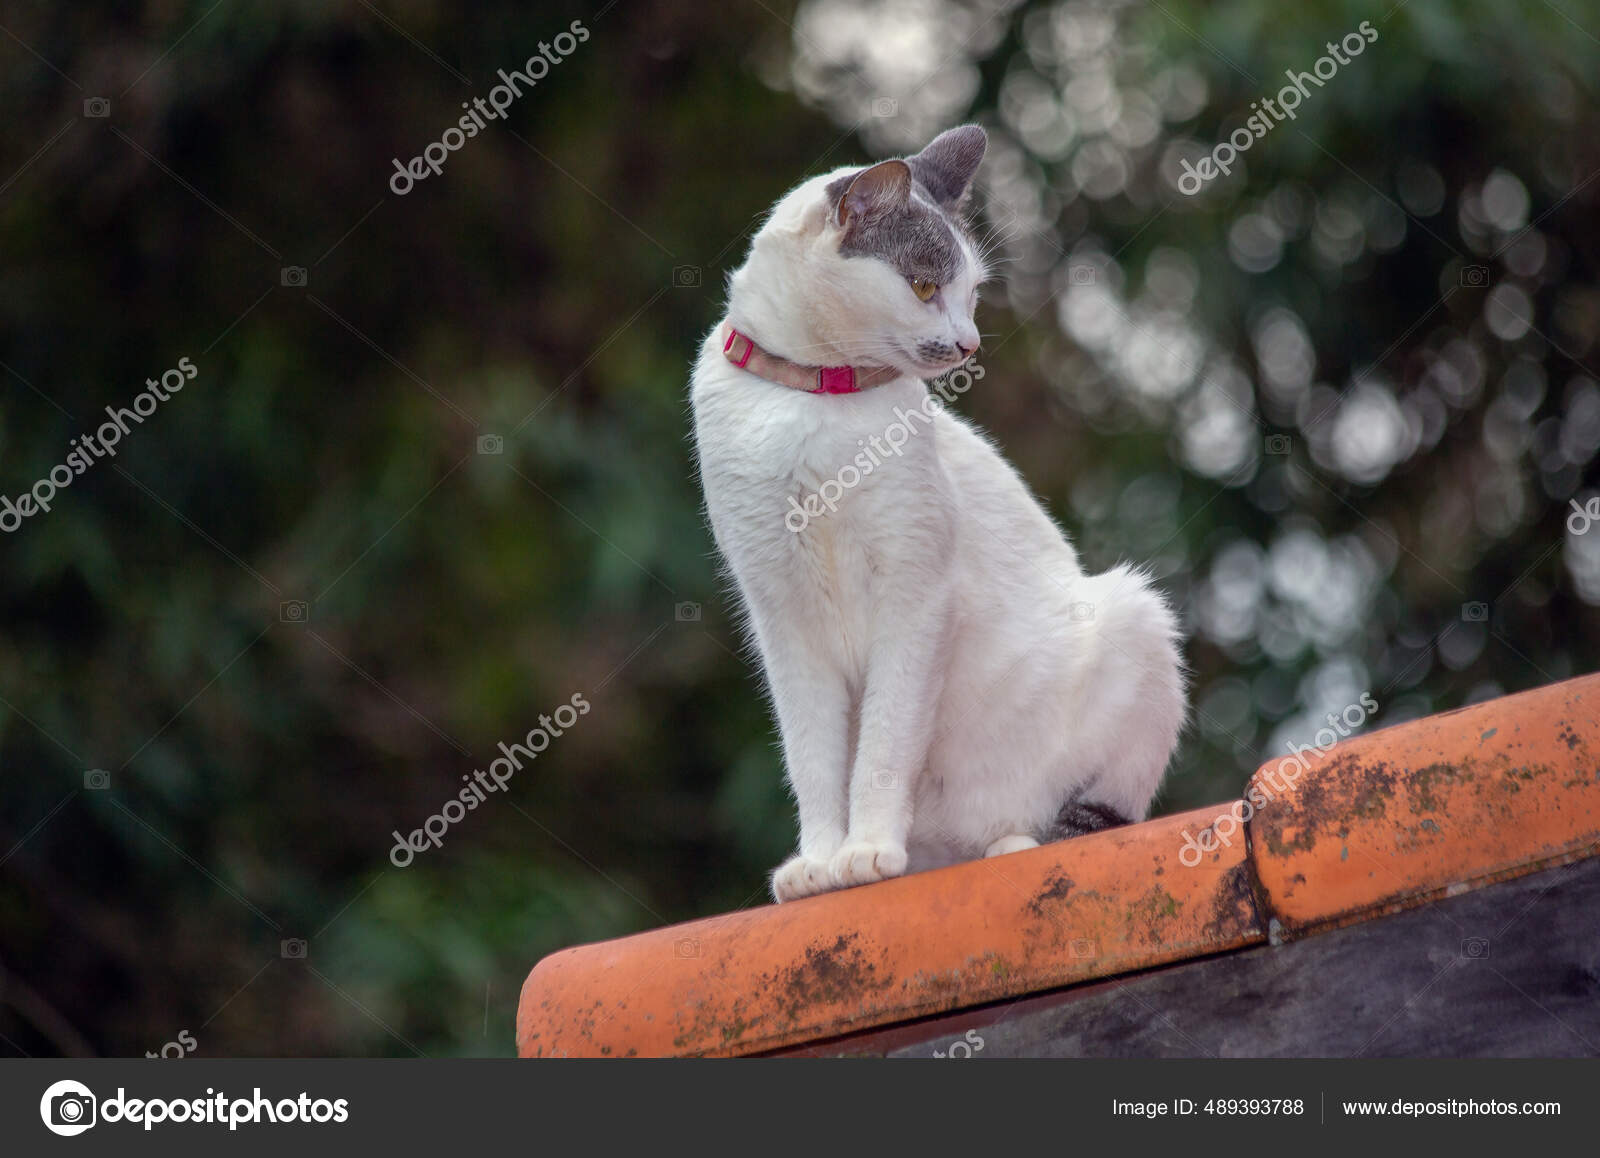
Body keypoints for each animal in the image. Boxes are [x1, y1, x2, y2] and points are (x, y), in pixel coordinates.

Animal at [688, 128, 1190, 902]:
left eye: (970, 293)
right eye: (924, 285)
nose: (969, 344)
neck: (815, 398)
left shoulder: (916, 595)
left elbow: (884, 745)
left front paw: (867, 851)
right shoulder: (781, 613)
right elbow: (812, 756)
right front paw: (820, 862)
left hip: (1136, 618)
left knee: (1086, 817)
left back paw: (1011, 843)